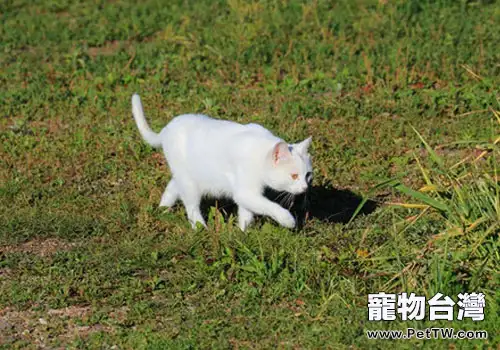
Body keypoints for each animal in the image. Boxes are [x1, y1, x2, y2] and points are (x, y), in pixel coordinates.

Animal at [133, 93, 312, 231]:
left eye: (308, 176)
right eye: (294, 176)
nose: (305, 188)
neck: (260, 151)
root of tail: (166, 129)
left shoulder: (246, 193)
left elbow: (246, 214)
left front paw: (243, 234)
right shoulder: (245, 191)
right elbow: (269, 206)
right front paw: (287, 220)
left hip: (186, 176)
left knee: (172, 187)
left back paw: (163, 209)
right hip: (190, 184)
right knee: (191, 207)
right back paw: (200, 229)